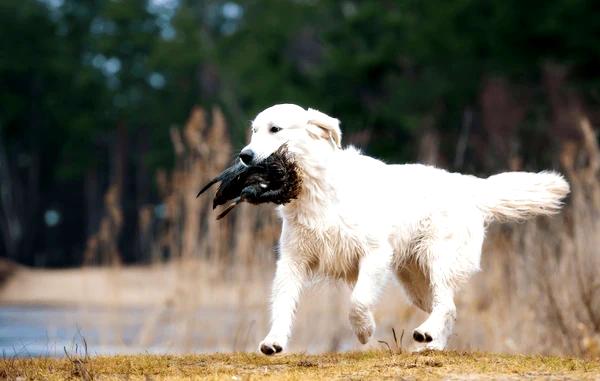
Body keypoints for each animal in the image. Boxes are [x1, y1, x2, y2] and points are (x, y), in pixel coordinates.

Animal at [237, 103, 568, 354]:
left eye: (275, 129)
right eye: (254, 130)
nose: (245, 156)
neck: (316, 191)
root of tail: (467, 185)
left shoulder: (374, 254)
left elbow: (358, 301)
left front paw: (364, 330)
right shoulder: (293, 260)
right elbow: (282, 304)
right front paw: (274, 341)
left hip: (438, 259)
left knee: (446, 304)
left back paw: (426, 335)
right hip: (416, 282)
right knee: (448, 307)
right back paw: (432, 345)